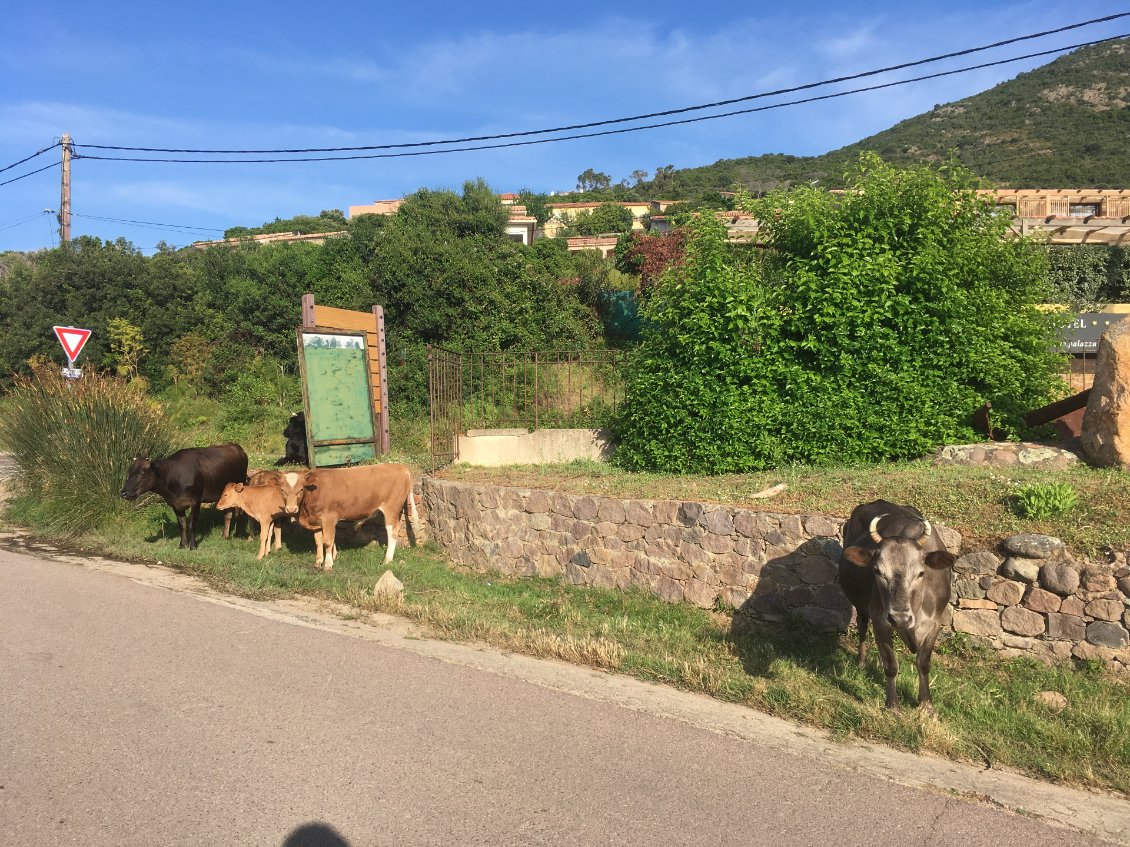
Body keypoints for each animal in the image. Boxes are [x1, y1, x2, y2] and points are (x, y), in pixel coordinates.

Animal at [121, 444, 249, 551]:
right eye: (129, 472)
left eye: (142, 473)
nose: (123, 493)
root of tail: (236, 447)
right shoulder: (175, 504)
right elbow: (182, 525)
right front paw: (182, 544)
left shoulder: (196, 501)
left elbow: (192, 524)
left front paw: (193, 546)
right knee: (228, 514)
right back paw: (225, 535)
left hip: (240, 487)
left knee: (239, 513)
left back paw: (237, 535)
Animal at [836, 501, 958, 713]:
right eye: (878, 571)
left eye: (921, 573)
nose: (900, 618)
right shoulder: (881, 622)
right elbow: (891, 664)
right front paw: (892, 705)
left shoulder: (935, 623)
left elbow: (923, 663)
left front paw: (926, 704)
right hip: (861, 607)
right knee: (861, 626)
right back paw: (861, 663)